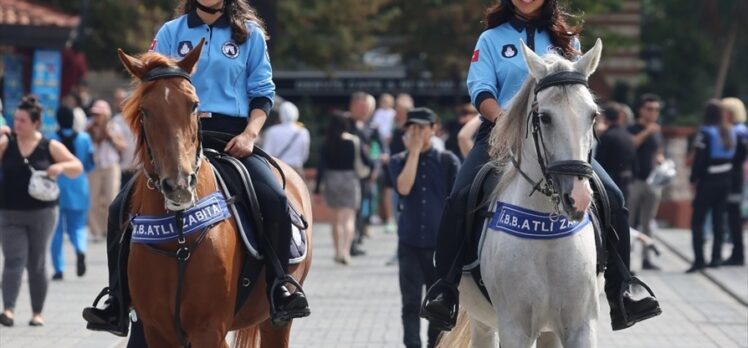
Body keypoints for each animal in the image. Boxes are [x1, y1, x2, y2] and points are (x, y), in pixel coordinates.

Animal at [116, 41, 312, 348]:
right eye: (145, 111)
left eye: (194, 105)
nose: (179, 185)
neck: (179, 234)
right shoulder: (157, 330)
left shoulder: (209, 329)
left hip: (276, 322)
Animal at [442, 38, 604, 348]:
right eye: (544, 117)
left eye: (593, 115)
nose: (578, 198)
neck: (547, 234)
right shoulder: (514, 328)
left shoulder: (581, 325)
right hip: (483, 322)